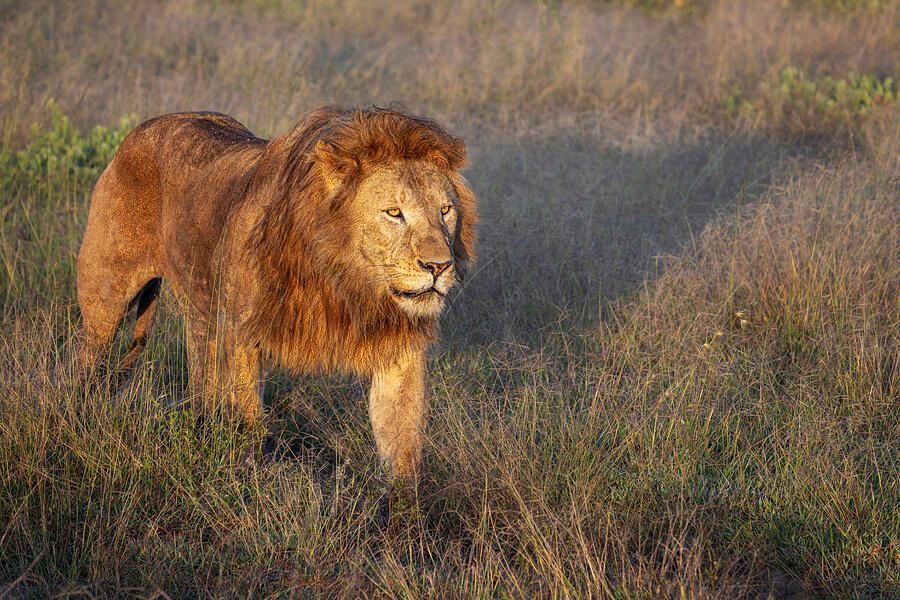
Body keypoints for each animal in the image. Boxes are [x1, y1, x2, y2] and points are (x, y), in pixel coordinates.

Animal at [76, 106, 478, 481]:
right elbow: (249, 426)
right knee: (87, 361)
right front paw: (247, 485)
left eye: (445, 210)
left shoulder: (399, 351)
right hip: (104, 296)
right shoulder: (242, 339)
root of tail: (144, 127)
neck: (345, 285)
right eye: (394, 213)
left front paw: (404, 510)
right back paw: (80, 417)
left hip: (203, 311)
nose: (439, 267)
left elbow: (403, 450)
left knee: (201, 380)